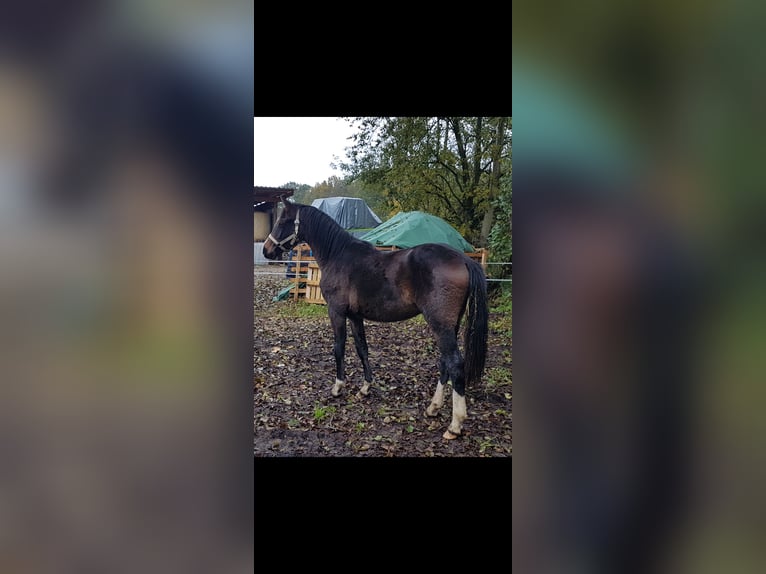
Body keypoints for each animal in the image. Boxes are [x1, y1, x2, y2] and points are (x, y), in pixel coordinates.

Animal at [264, 200, 492, 438]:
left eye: (283, 220)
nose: (266, 250)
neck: (337, 255)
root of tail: (464, 259)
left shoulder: (336, 312)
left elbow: (339, 347)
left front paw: (338, 387)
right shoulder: (355, 316)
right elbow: (362, 348)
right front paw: (365, 388)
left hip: (441, 325)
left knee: (455, 364)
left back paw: (455, 425)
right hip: (450, 326)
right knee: (445, 362)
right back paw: (433, 408)